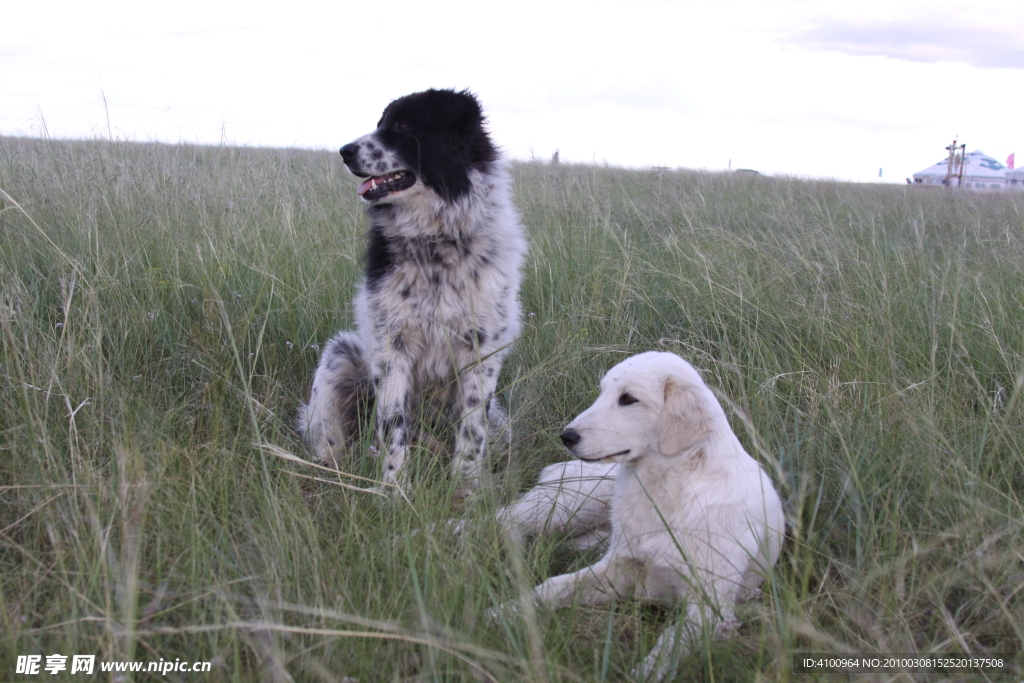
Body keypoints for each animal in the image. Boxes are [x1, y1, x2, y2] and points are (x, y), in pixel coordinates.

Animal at [294, 89, 520, 497]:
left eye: (401, 126)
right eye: (381, 122)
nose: (344, 151)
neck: (436, 243)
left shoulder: (481, 352)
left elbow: (471, 431)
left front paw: (466, 489)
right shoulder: (391, 348)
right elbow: (393, 424)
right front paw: (394, 491)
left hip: (500, 420)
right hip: (341, 356)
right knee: (330, 442)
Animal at [487, 356, 782, 679]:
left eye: (628, 399)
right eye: (602, 393)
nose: (567, 437)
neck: (668, 488)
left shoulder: (710, 606)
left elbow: (671, 641)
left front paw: (648, 671)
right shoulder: (617, 568)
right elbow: (554, 586)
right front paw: (509, 611)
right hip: (569, 505)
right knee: (502, 519)